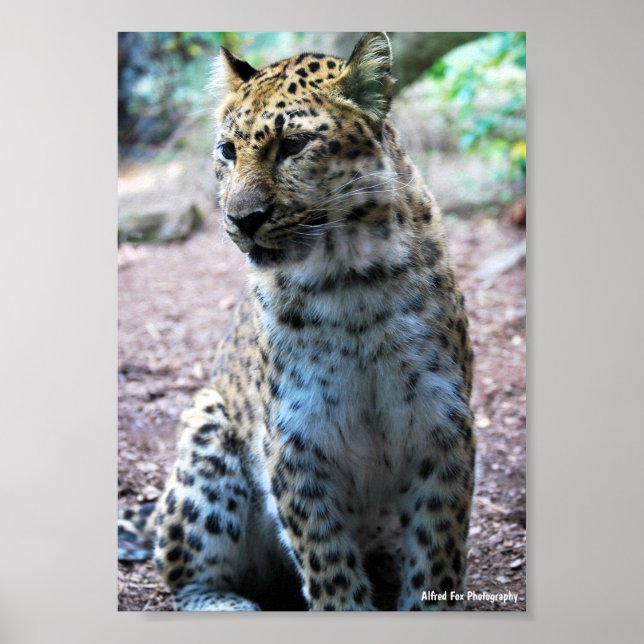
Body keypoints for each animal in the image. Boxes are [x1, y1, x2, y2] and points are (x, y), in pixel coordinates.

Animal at [122, 32, 476, 611]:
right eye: (227, 151)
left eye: (292, 146)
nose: (241, 220)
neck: (351, 281)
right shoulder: (295, 442)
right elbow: (330, 570)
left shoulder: (442, 427)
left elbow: (435, 560)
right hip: (206, 437)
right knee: (181, 576)